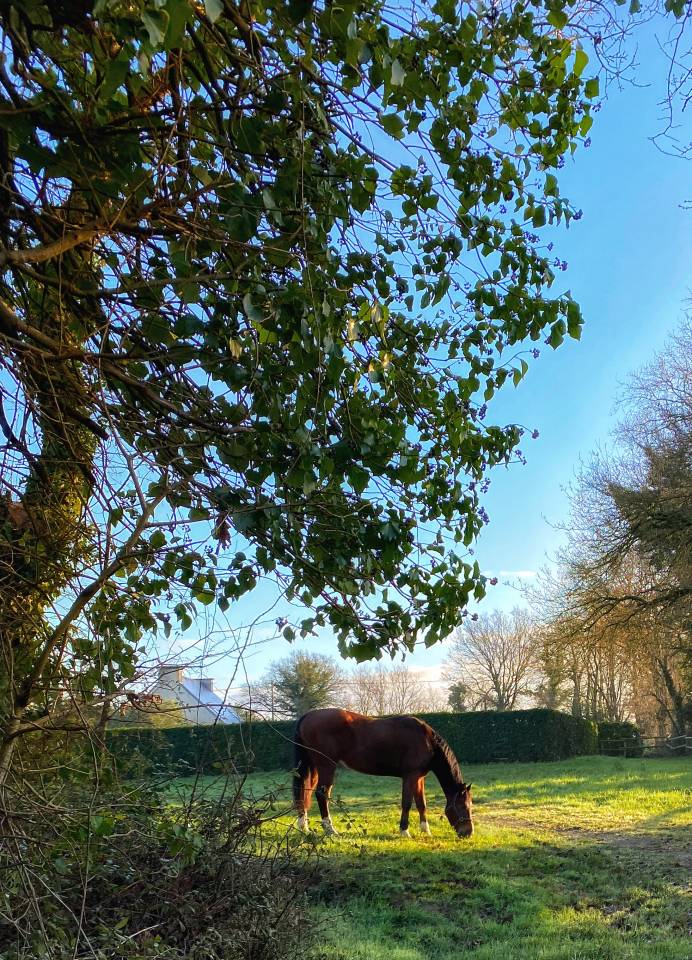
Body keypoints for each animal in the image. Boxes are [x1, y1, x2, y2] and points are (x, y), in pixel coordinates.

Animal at [292, 708, 473, 839]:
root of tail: (308, 715)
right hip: (327, 766)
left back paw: (304, 827)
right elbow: (407, 803)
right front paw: (404, 832)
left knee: (305, 793)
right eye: (463, 806)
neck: (427, 740)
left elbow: (422, 804)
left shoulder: (419, 778)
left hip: (314, 767)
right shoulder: (410, 776)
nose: (468, 833)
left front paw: (425, 831)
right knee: (321, 794)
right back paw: (330, 830)